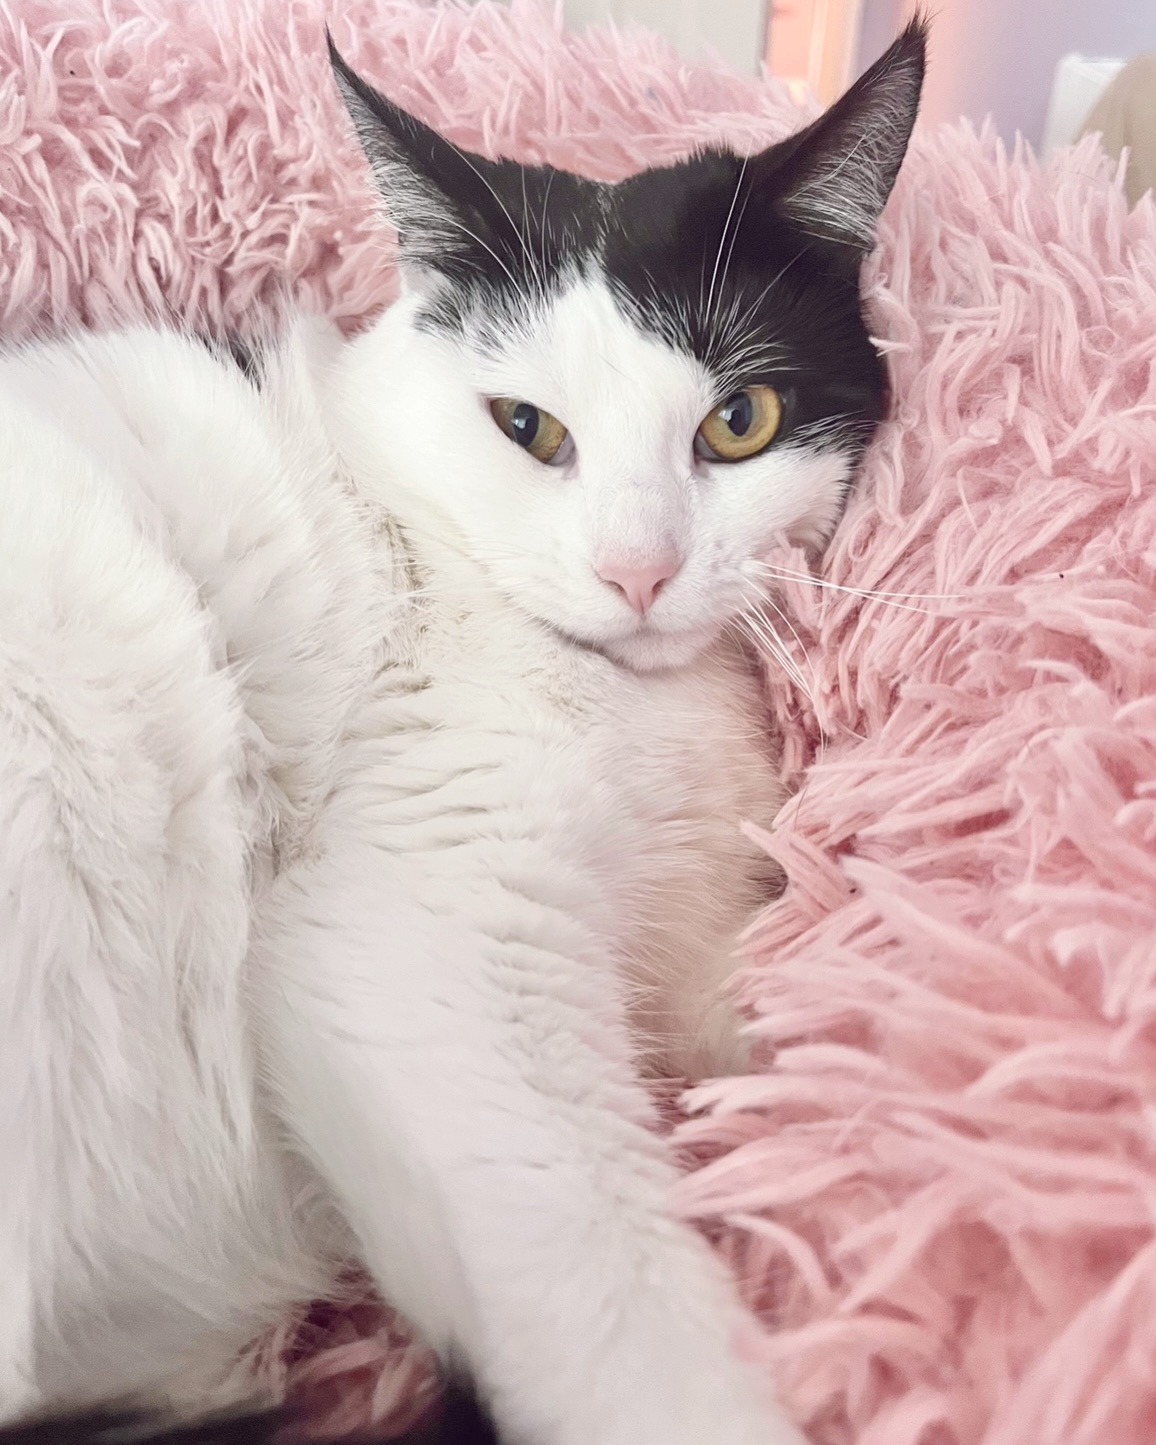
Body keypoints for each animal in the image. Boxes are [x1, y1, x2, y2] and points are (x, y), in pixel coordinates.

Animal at [0, 16, 924, 1445]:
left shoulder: (702, 922)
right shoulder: (419, 927)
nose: (639, 570)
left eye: (740, 421)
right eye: (526, 428)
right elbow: (620, 1306)